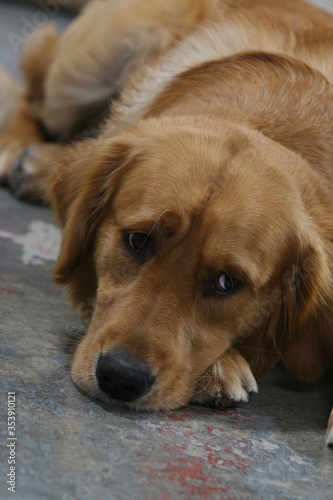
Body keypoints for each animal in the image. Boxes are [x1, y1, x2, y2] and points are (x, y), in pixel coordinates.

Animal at [0, 0, 332, 446]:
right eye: (137, 240)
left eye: (227, 282)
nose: (121, 378)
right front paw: (224, 365)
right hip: (79, 75)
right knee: (31, 96)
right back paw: (22, 153)